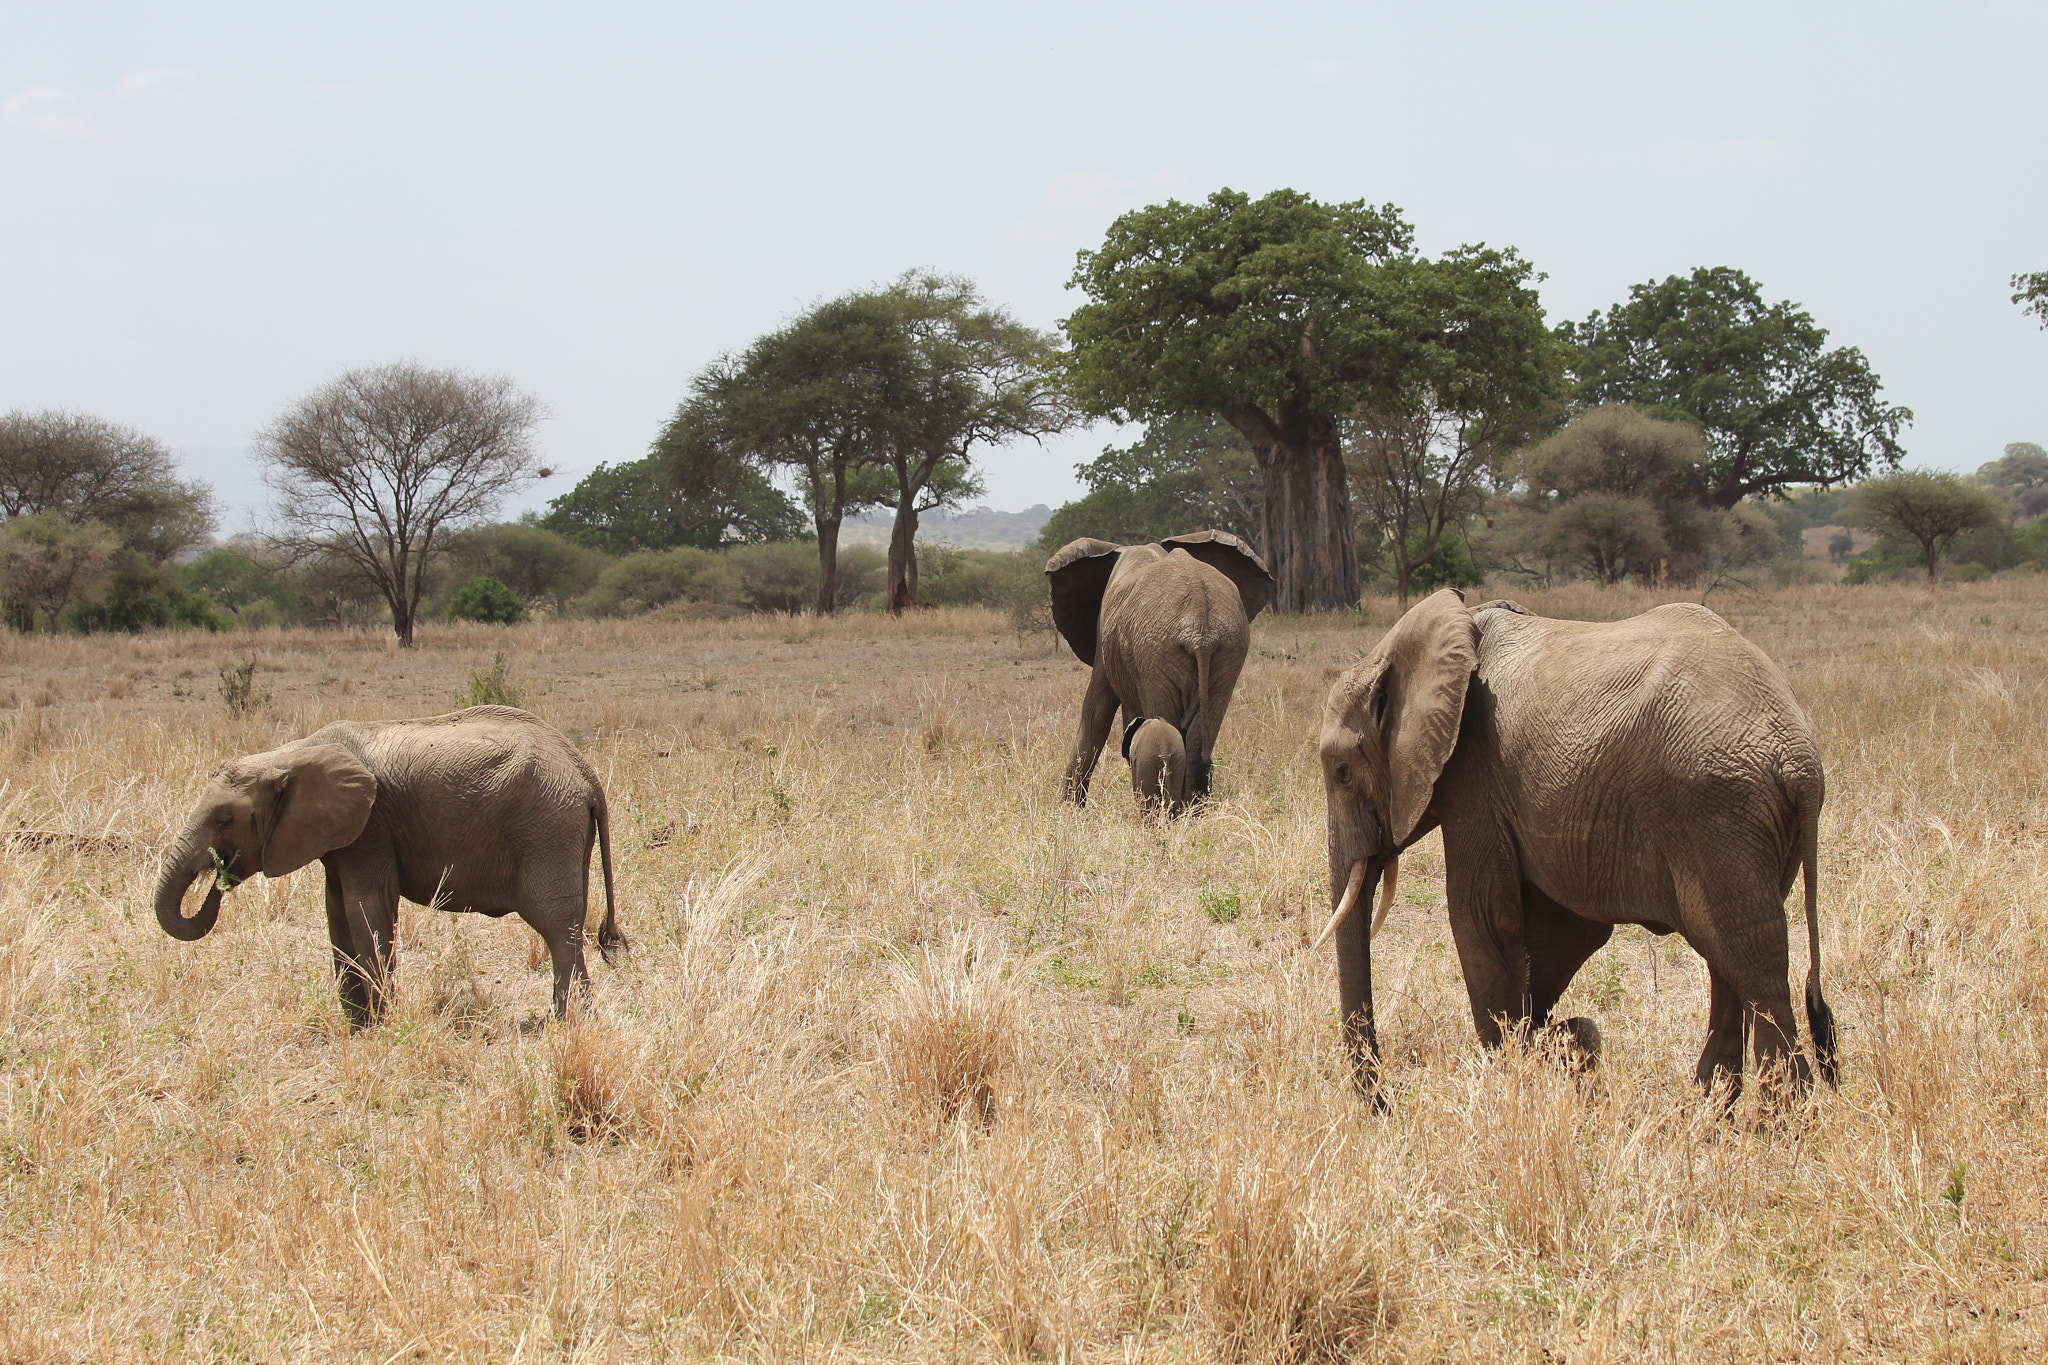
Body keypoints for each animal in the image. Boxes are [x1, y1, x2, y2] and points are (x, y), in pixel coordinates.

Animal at [153, 703, 622, 1023]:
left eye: (223, 820)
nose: (217, 875)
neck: (287, 756)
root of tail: (585, 771)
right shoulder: (340, 836)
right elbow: (337, 911)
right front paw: (358, 1026)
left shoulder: (371, 827)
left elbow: (368, 907)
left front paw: (381, 1023)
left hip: (546, 825)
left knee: (555, 923)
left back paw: (567, 1022)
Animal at [1048, 532, 1269, 810]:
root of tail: (1199, 621)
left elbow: (1096, 714)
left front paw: (1068, 809)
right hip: (1226, 648)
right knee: (1199, 735)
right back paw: (1190, 811)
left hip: (1157, 649)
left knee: (1162, 722)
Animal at [1310, 593, 1843, 1105]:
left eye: (1341, 771)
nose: (1389, 1101)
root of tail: (1799, 759)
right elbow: (1567, 930)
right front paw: (1556, 1044)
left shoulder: (1474, 773)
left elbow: (1482, 915)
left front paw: (1521, 1071)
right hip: (1750, 825)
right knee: (1728, 958)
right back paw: (1712, 1113)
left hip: (1717, 808)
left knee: (1752, 959)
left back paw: (1778, 1119)